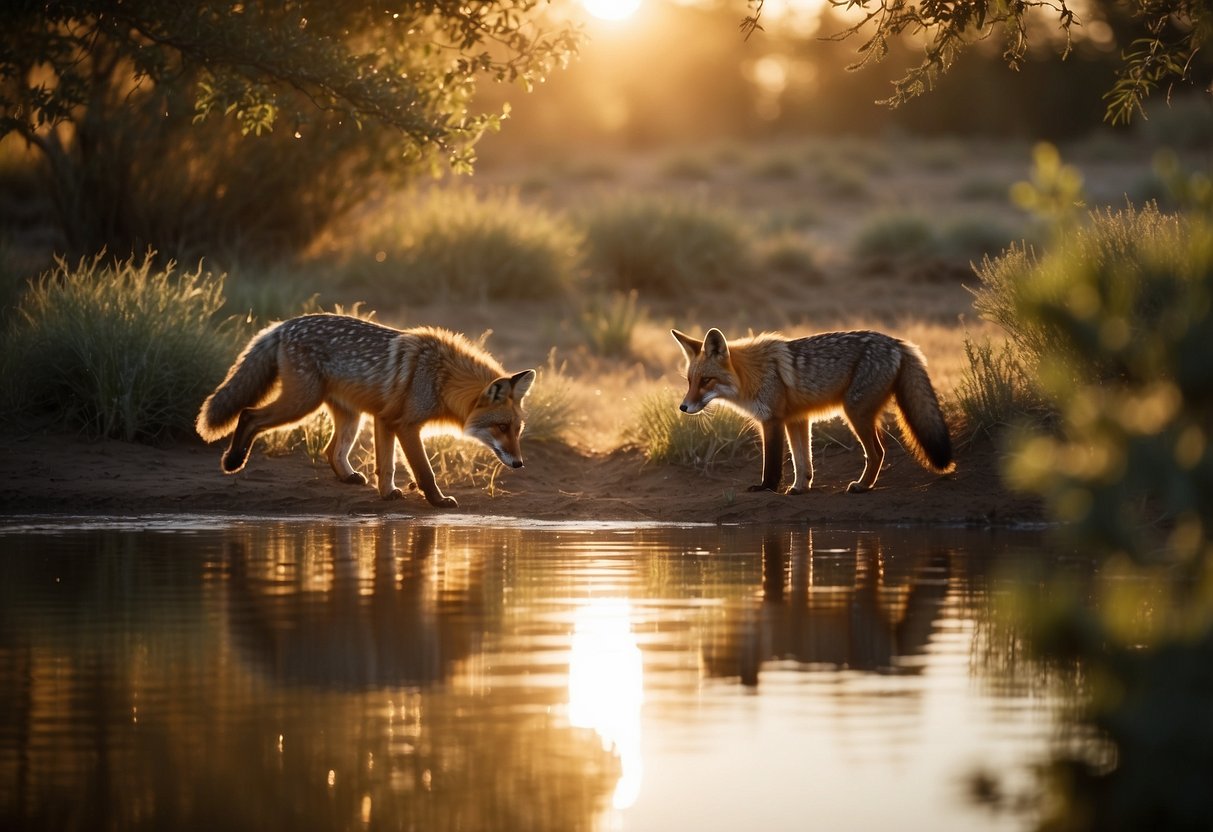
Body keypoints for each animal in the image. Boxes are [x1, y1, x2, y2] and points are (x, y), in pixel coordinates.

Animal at [196, 312, 533, 509]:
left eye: (517, 430)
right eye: (501, 427)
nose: (519, 464)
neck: (440, 377)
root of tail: (283, 324)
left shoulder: (384, 418)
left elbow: (386, 466)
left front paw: (386, 494)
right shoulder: (405, 425)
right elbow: (423, 471)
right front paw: (437, 501)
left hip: (350, 416)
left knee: (331, 450)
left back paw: (347, 477)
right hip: (302, 403)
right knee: (249, 414)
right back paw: (233, 461)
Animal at [674, 325, 955, 494]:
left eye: (706, 381)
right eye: (689, 381)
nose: (683, 407)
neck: (751, 375)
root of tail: (898, 342)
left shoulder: (772, 420)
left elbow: (772, 463)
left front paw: (767, 487)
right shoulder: (797, 420)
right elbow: (802, 462)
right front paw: (800, 488)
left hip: (855, 413)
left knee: (877, 453)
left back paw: (863, 486)